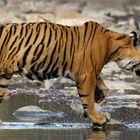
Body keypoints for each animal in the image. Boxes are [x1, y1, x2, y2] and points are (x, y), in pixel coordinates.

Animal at [0, 18, 140, 126]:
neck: (113, 46)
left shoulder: (91, 72)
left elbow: (102, 86)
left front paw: (99, 96)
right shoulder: (87, 74)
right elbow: (87, 100)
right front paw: (98, 118)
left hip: (4, 78)